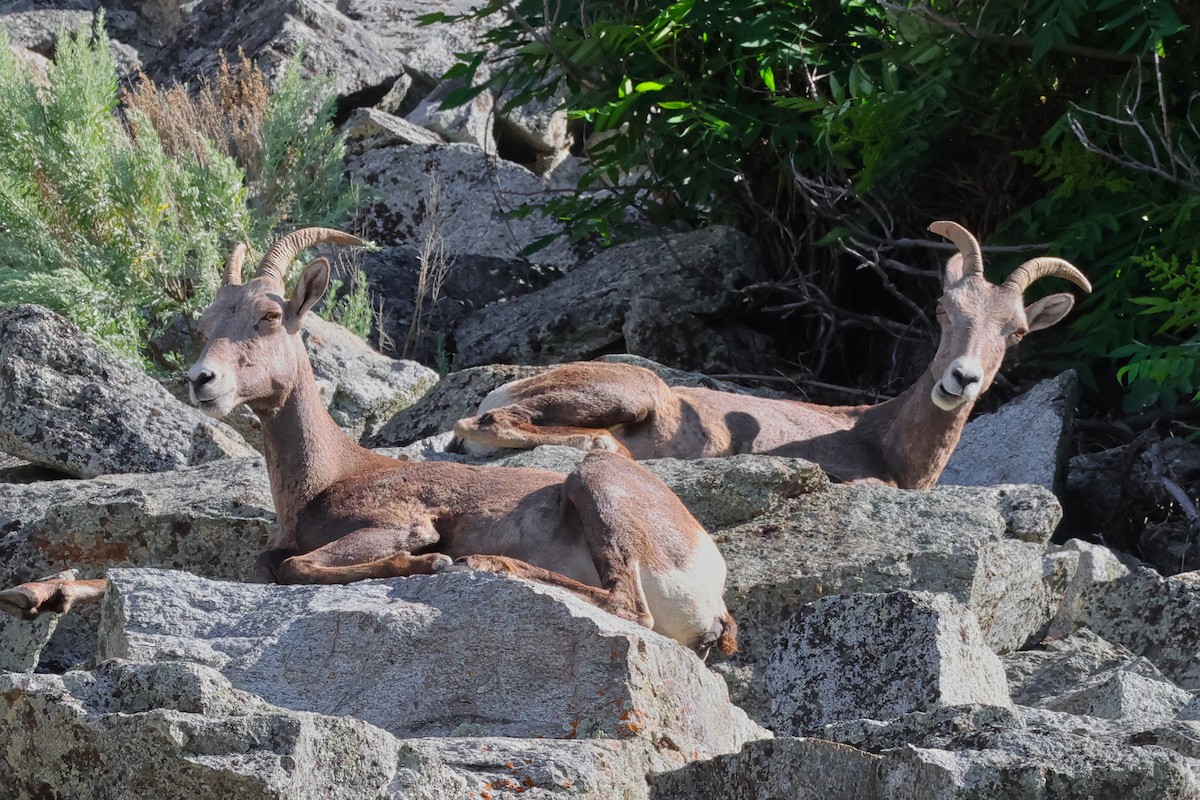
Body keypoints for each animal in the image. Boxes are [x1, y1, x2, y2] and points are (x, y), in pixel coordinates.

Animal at [454, 221, 1091, 489]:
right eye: (942, 309)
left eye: (1016, 332)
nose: (961, 378)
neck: (879, 436)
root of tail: (503, 386)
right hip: (628, 393)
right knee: (491, 423)